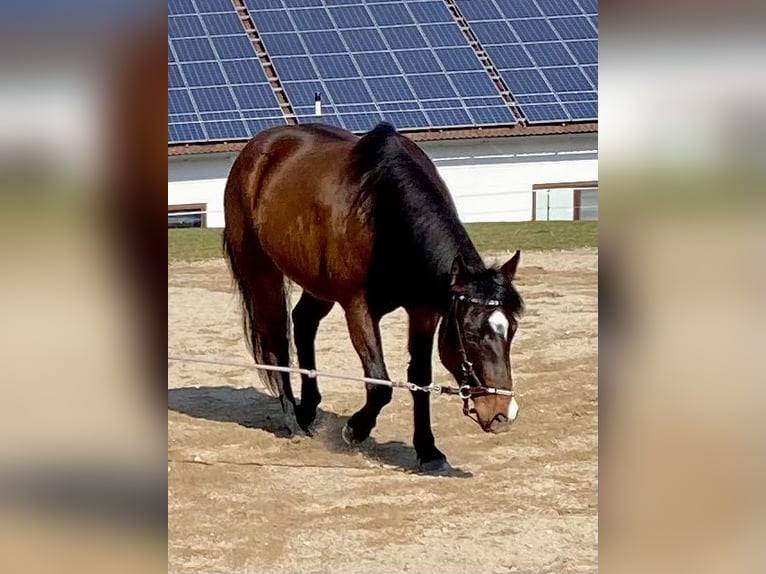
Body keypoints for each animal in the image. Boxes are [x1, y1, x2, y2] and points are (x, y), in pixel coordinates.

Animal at [223, 122, 523, 473]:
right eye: (472, 334)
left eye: (511, 331)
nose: (502, 413)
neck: (383, 214)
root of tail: (257, 149)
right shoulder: (358, 308)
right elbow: (379, 383)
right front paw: (355, 429)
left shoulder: (424, 311)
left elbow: (420, 379)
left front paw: (428, 450)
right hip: (262, 274)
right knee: (276, 345)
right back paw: (293, 421)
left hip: (317, 286)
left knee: (303, 324)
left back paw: (308, 409)